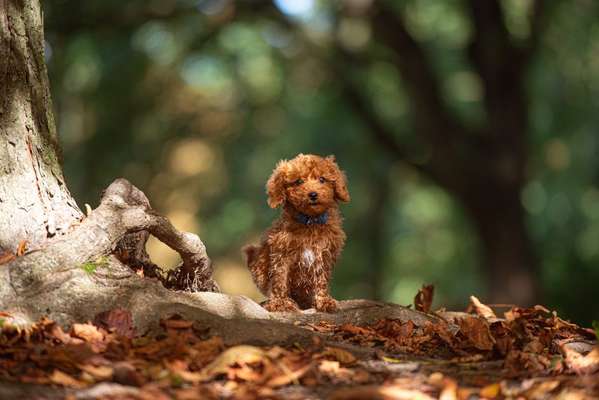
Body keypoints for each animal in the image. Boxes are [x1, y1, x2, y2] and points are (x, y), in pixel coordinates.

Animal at [241, 153, 350, 312]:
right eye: (298, 181)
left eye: (322, 179)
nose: (313, 194)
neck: (310, 221)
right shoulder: (281, 253)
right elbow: (280, 279)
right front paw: (280, 303)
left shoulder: (324, 254)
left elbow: (322, 279)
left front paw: (324, 300)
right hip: (259, 263)